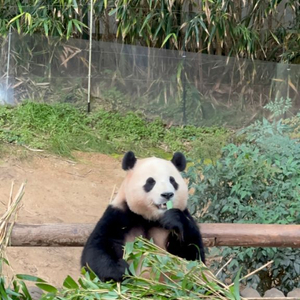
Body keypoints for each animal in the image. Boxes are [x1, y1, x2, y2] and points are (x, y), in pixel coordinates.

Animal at [81, 151, 205, 282]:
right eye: (150, 182)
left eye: (172, 181)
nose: (167, 194)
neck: (150, 218)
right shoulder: (119, 214)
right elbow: (96, 249)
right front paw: (120, 270)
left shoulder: (183, 215)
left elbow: (193, 257)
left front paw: (173, 219)